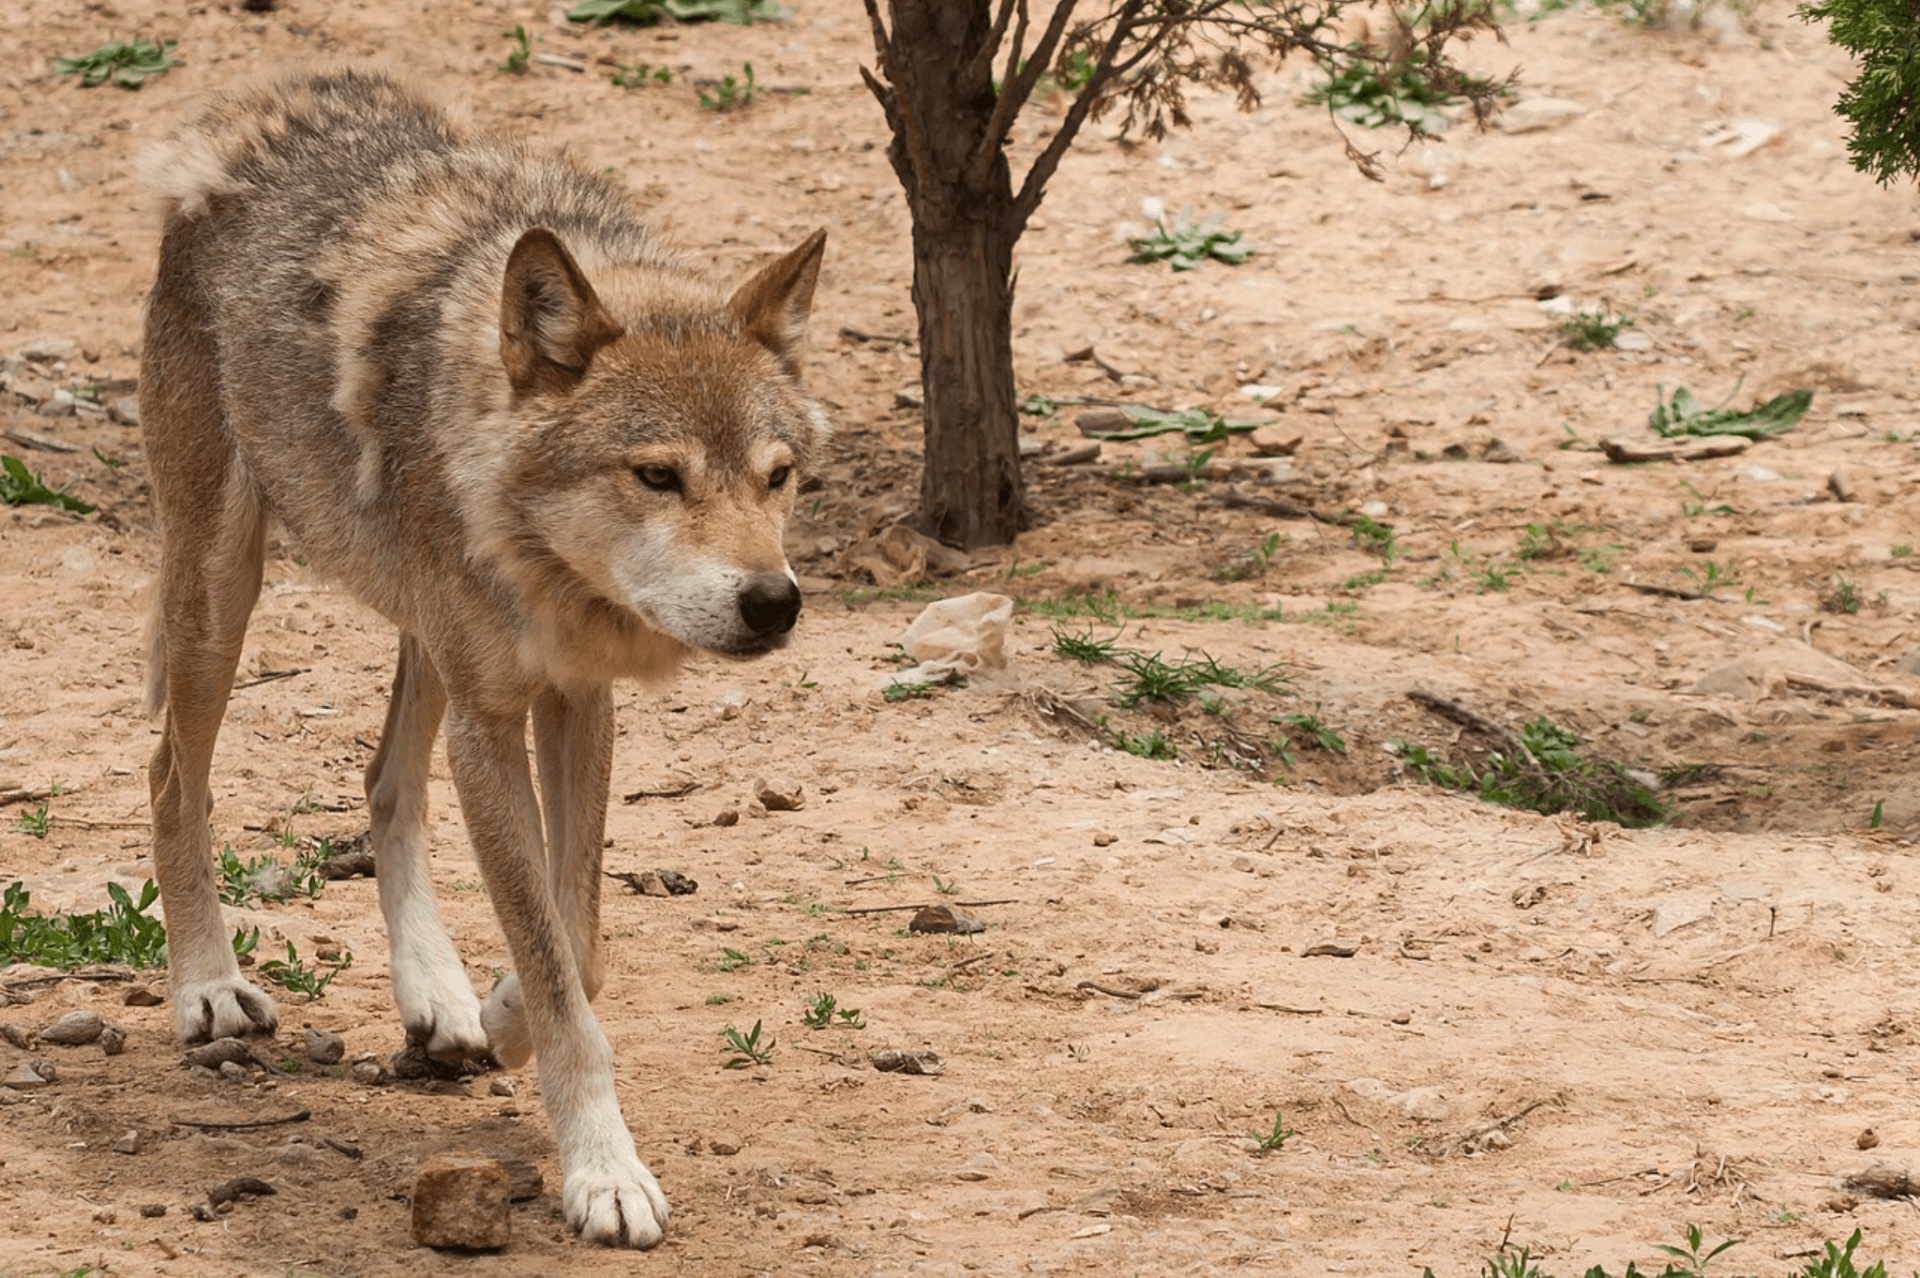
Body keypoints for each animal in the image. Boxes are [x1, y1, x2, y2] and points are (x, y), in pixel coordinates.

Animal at [137, 64, 828, 1248]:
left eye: (776, 476)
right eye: (658, 476)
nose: (773, 602)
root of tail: (257, 110)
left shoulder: (575, 700)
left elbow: (575, 934)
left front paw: (504, 1009)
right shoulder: (494, 721)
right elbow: (557, 957)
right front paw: (603, 1172)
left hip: (424, 638)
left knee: (383, 779)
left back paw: (440, 997)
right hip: (225, 588)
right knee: (173, 771)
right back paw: (208, 989)